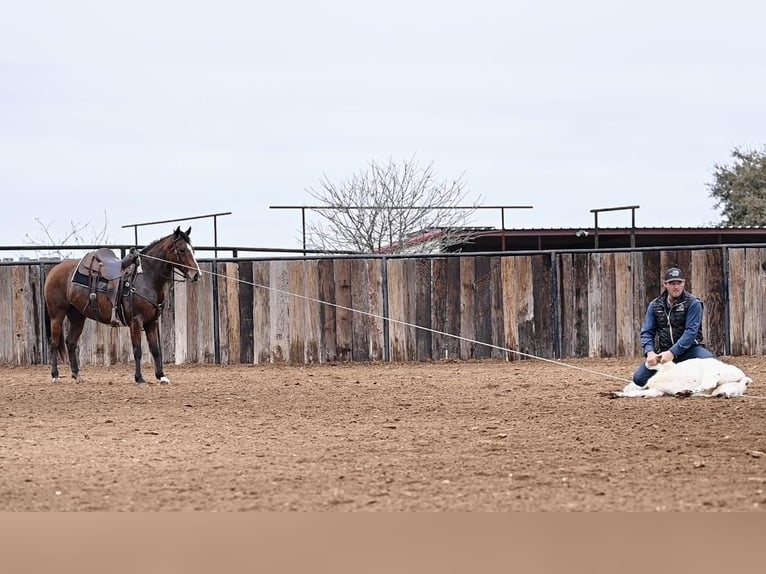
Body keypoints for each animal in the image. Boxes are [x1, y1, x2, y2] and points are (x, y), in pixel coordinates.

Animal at [44, 227, 202, 384]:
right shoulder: (135, 322)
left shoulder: (152, 322)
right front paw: (139, 378)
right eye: (181, 250)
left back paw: (77, 375)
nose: (196, 275)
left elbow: (155, 350)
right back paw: (55, 375)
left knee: (70, 342)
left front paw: (161, 376)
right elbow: (137, 351)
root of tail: (54, 270)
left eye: (193, 249)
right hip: (57, 315)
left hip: (77, 316)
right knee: (54, 343)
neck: (145, 279)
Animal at [616, 360, 752, 400]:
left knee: (708, 383)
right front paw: (618, 394)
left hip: (713, 372)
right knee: (713, 389)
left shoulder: (667, 365)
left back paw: (686, 391)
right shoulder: (656, 390)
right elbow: (636, 392)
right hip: (725, 385)